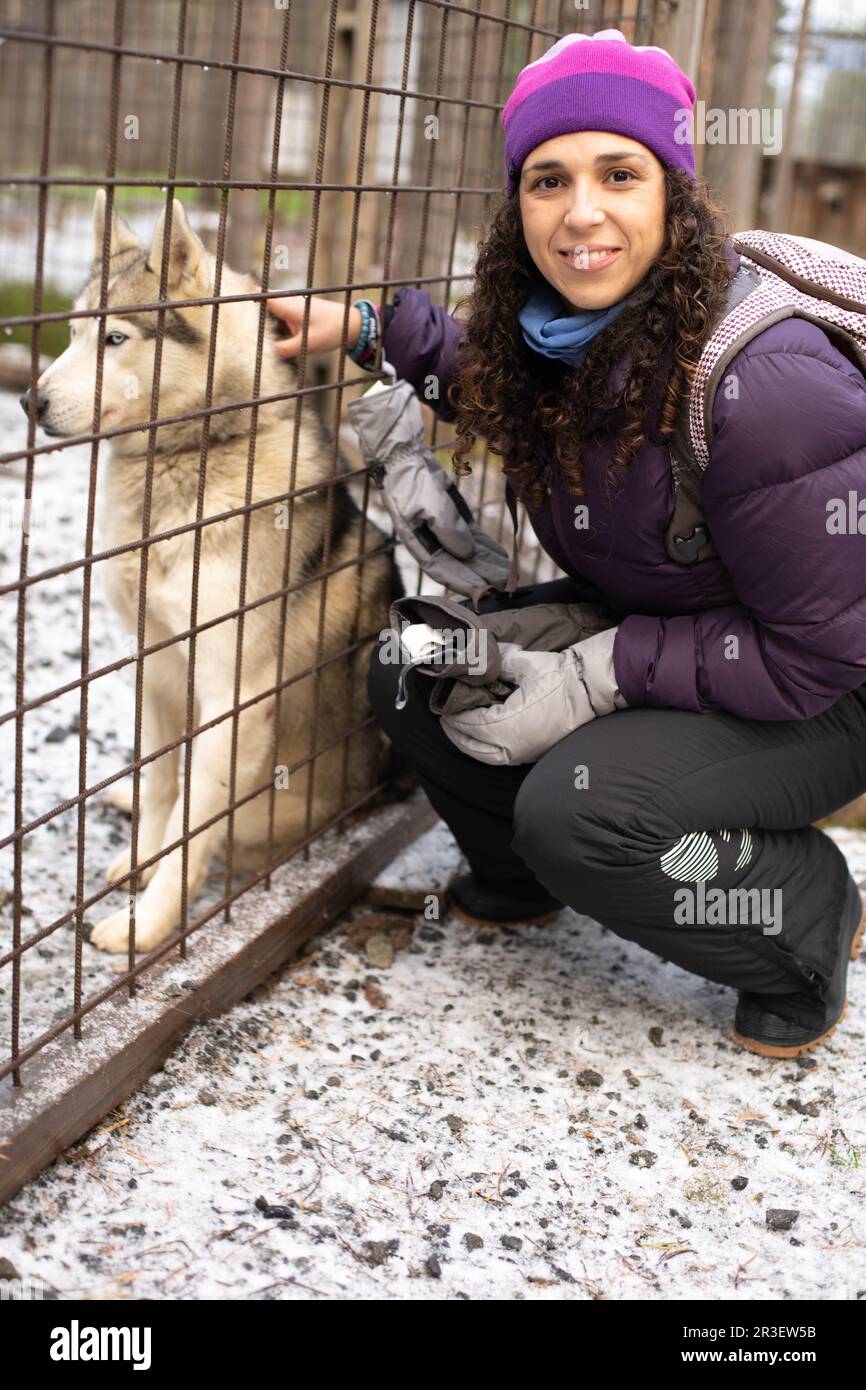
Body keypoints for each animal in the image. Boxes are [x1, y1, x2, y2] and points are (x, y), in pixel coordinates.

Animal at [22, 190, 403, 956]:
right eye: (72, 334)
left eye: (116, 340)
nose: (30, 401)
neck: (187, 457)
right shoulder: (157, 660)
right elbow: (164, 784)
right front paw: (141, 854)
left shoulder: (236, 695)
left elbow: (189, 827)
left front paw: (146, 924)